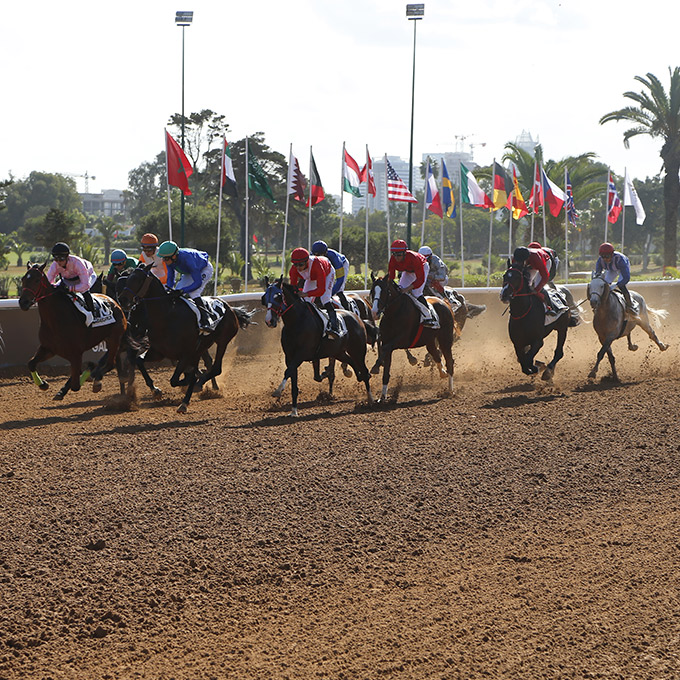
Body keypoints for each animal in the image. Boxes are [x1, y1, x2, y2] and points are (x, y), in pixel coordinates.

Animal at [19, 260, 128, 398]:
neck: (55, 321)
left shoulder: (75, 354)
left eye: (37, 280)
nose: (23, 302)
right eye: (23, 279)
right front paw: (43, 384)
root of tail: (114, 302)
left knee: (109, 364)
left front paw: (89, 370)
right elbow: (31, 363)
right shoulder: (49, 348)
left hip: (114, 338)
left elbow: (76, 385)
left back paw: (96, 380)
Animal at [117, 264, 255, 414]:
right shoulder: (159, 352)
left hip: (222, 341)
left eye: (138, 279)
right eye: (127, 279)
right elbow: (139, 361)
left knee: (216, 368)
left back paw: (199, 386)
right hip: (202, 347)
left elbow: (178, 379)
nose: (122, 299)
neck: (167, 316)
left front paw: (192, 385)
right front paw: (156, 390)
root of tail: (229, 307)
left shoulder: (186, 354)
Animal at [262, 274, 378, 414]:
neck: (297, 322)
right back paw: (356, 376)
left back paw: (370, 400)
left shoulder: (301, 354)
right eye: (264, 298)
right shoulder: (290, 357)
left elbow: (288, 372)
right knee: (351, 362)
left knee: (364, 370)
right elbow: (293, 379)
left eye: (278, 296)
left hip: (358, 350)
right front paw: (294, 411)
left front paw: (278, 391)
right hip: (339, 352)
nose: (269, 321)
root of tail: (357, 318)